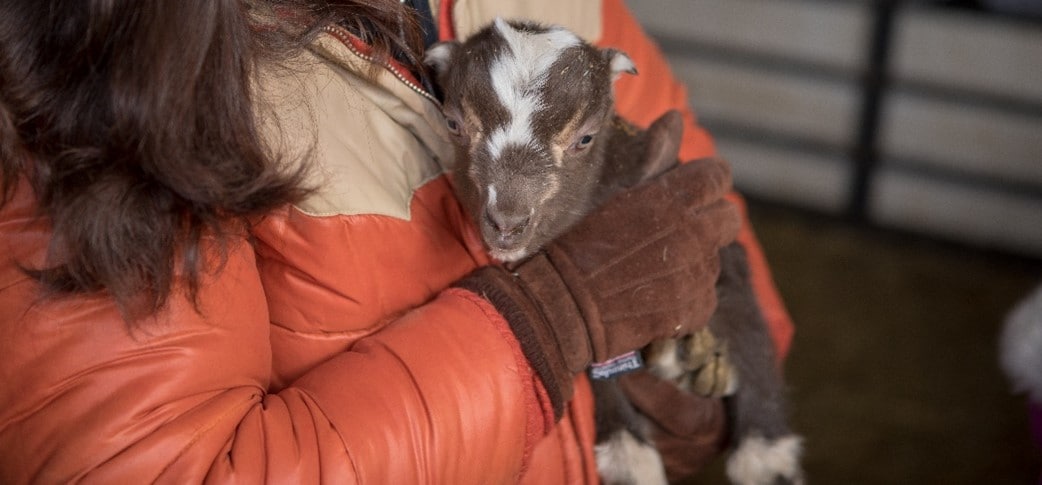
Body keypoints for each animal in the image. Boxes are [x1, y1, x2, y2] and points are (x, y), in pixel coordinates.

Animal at [427, 18, 800, 483]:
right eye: (453, 124)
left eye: (585, 138)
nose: (507, 223)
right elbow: (591, 339)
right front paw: (629, 456)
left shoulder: (712, 232)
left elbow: (747, 318)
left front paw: (766, 455)